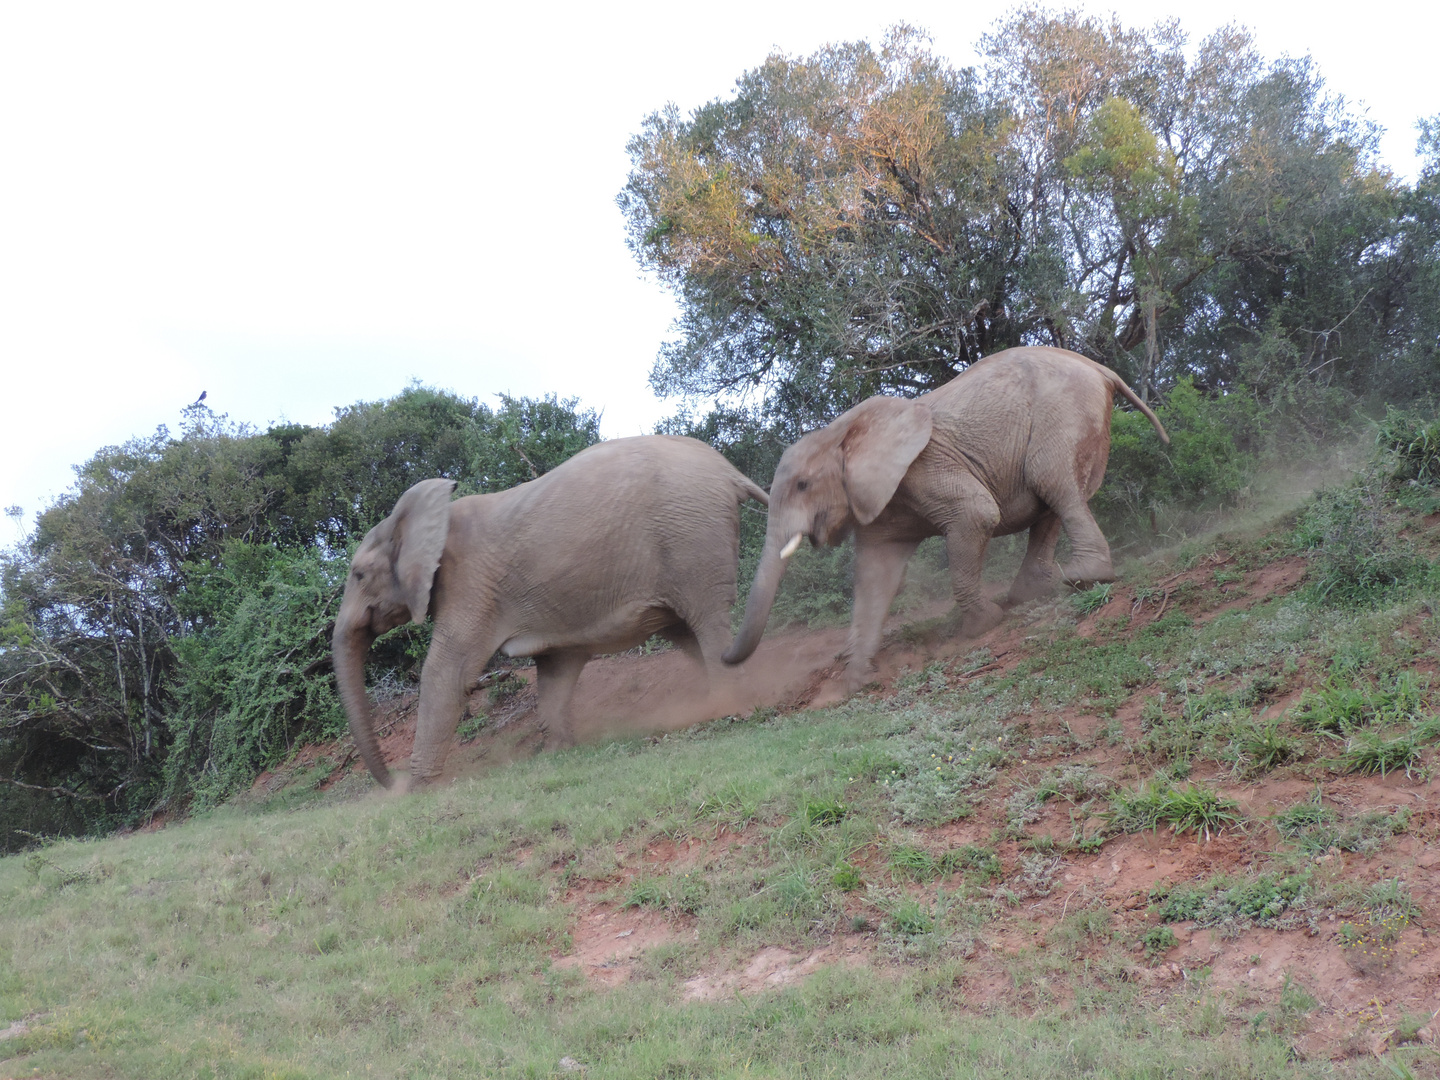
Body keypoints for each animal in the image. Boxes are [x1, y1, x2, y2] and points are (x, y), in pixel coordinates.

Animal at [331, 434, 771, 789]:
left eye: (359, 575)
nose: (391, 781)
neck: (413, 519)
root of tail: (731, 472)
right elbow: (556, 668)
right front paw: (558, 752)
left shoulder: (470, 585)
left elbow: (446, 674)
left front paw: (416, 789)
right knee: (685, 631)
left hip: (691, 539)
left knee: (707, 621)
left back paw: (730, 710)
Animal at [720, 351, 1169, 696]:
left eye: (803, 484)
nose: (724, 660)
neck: (841, 431)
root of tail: (1101, 369)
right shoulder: (879, 498)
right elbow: (875, 573)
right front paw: (857, 679)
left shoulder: (925, 465)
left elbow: (977, 513)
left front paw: (982, 625)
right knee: (1052, 500)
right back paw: (1031, 594)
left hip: (1064, 412)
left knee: (1053, 482)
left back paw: (1083, 578)